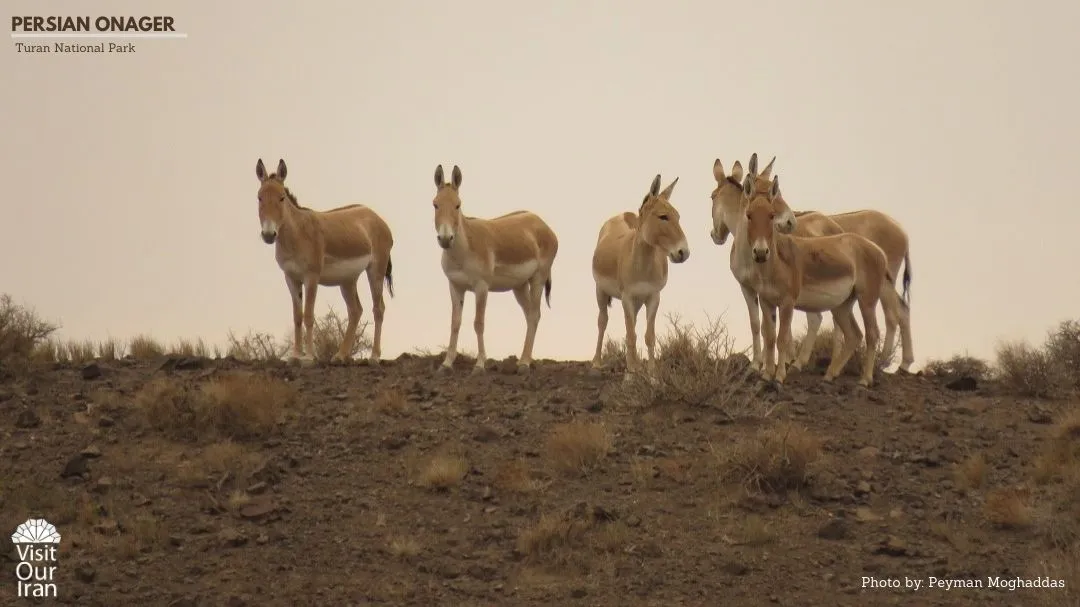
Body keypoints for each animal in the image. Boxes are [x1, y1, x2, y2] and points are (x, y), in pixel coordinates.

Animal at [254, 158, 395, 360]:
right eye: (259, 198)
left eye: (281, 198)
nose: (268, 235)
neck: (296, 234)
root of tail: (375, 216)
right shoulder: (291, 278)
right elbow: (297, 316)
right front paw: (295, 355)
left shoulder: (311, 277)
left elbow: (308, 316)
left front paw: (309, 357)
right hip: (347, 279)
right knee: (355, 311)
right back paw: (341, 355)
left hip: (376, 270)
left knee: (378, 308)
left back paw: (374, 356)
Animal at [427, 165, 557, 373]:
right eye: (435, 205)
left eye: (458, 205)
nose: (445, 239)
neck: (463, 251)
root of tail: (541, 223)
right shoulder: (455, 286)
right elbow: (455, 323)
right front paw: (446, 364)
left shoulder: (481, 287)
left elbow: (478, 323)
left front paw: (480, 365)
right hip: (519, 286)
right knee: (531, 315)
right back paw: (524, 360)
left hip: (538, 279)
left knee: (534, 314)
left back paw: (525, 363)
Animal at [591, 172, 691, 375]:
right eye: (663, 216)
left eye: (678, 216)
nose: (683, 253)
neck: (642, 267)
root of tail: (623, 214)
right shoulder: (627, 297)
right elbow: (631, 336)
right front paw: (630, 375)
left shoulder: (653, 296)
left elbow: (648, 336)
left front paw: (652, 375)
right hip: (601, 291)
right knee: (602, 321)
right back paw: (597, 362)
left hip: (637, 301)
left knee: (633, 325)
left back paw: (635, 364)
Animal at [743, 172, 902, 384]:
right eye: (749, 215)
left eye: (771, 215)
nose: (760, 253)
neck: (776, 264)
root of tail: (876, 249)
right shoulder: (766, 302)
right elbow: (769, 337)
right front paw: (767, 375)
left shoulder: (787, 303)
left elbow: (781, 338)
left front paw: (779, 377)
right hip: (842, 305)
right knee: (854, 335)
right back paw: (829, 374)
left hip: (867, 300)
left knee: (872, 334)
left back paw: (865, 379)